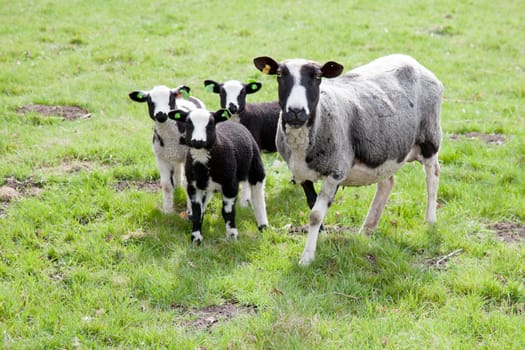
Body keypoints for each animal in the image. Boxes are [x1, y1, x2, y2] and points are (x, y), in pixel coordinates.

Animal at [129, 86, 205, 215]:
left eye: (170, 99)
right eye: (150, 101)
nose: (161, 115)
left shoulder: (188, 156)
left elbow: (189, 184)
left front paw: (191, 210)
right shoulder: (161, 158)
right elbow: (166, 185)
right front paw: (167, 210)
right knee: (178, 172)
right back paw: (178, 189)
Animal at [169, 106, 268, 243]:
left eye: (211, 123)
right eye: (188, 122)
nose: (198, 141)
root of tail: (232, 122)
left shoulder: (230, 184)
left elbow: (228, 212)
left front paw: (232, 236)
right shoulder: (193, 186)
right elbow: (197, 212)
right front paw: (196, 238)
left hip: (255, 166)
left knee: (258, 196)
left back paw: (263, 225)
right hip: (207, 185)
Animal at [254, 53, 442, 264]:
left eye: (317, 76)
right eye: (279, 74)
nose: (296, 111)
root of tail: (410, 60)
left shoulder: (336, 172)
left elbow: (315, 215)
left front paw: (307, 258)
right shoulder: (301, 175)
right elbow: (312, 206)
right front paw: (319, 240)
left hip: (430, 136)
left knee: (433, 175)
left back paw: (430, 220)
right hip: (384, 149)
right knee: (387, 183)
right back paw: (367, 228)